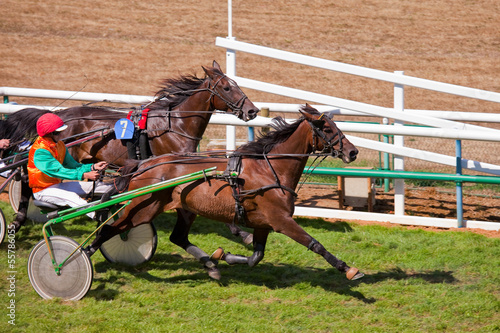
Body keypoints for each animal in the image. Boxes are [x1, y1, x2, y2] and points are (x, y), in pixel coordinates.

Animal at [87, 104, 364, 280]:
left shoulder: (263, 223)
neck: (269, 169)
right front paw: (349, 269)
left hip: (185, 208)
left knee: (178, 237)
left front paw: (225, 255)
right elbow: (314, 244)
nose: (353, 152)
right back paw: (84, 257)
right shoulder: (281, 220)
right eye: (326, 129)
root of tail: (144, 164)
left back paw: (211, 265)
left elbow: (256, 256)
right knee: (109, 231)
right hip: (142, 209)